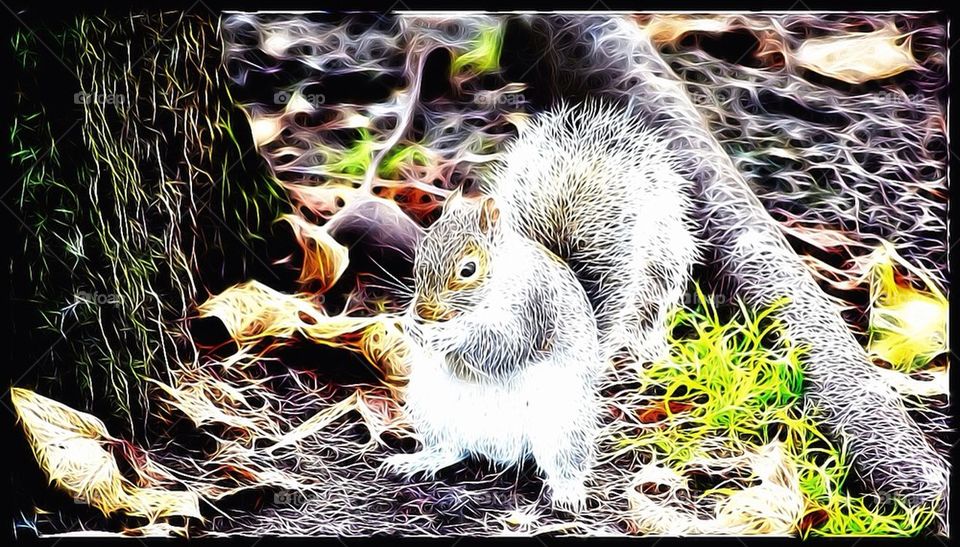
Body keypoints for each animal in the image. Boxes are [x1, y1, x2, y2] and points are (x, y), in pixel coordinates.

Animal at [383, 101, 699, 510]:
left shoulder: (534, 308)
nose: (424, 312)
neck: (493, 289)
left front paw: (449, 338)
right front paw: (410, 326)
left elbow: (503, 348)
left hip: (563, 424)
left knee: (564, 462)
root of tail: (501, 447)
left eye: (468, 269)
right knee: (451, 449)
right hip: (433, 409)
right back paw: (420, 460)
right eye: (420, 255)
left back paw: (568, 492)